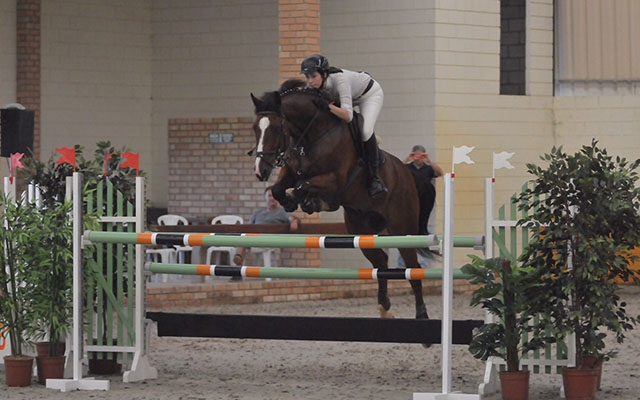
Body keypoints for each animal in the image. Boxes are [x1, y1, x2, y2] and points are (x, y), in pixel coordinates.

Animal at [251, 82, 430, 322]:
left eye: (276, 128)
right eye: (255, 128)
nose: (260, 171)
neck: (311, 135)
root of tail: (409, 173)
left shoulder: (334, 180)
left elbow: (301, 187)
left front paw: (309, 203)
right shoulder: (291, 171)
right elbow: (280, 188)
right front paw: (295, 203)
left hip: (402, 228)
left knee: (413, 268)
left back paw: (421, 314)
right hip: (361, 228)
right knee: (380, 261)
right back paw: (384, 307)